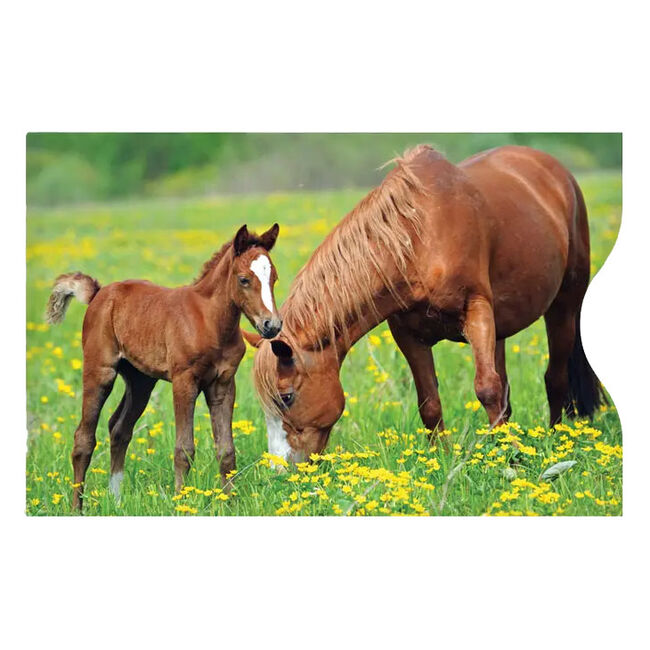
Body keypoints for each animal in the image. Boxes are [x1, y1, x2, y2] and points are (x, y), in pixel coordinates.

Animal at [46, 223, 282, 510]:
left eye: (274, 278)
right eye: (244, 279)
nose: (272, 325)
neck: (209, 321)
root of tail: (99, 293)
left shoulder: (223, 384)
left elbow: (226, 449)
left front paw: (230, 503)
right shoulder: (184, 381)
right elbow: (184, 449)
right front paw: (181, 500)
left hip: (141, 381)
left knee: (119, 429)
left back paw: (116, 500)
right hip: (99, 371)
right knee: (83, 438)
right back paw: (76, 508)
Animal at [247, 145, 606, 463]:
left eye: (287, 397)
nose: (281, 468)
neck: (420, 239)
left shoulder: (476, 311)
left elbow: (486, 388)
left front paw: (511, 459)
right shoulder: (409, 335)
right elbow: (430, 403)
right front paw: (441, 459)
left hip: (564, 305)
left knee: (554, 378)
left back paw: (555, 438)